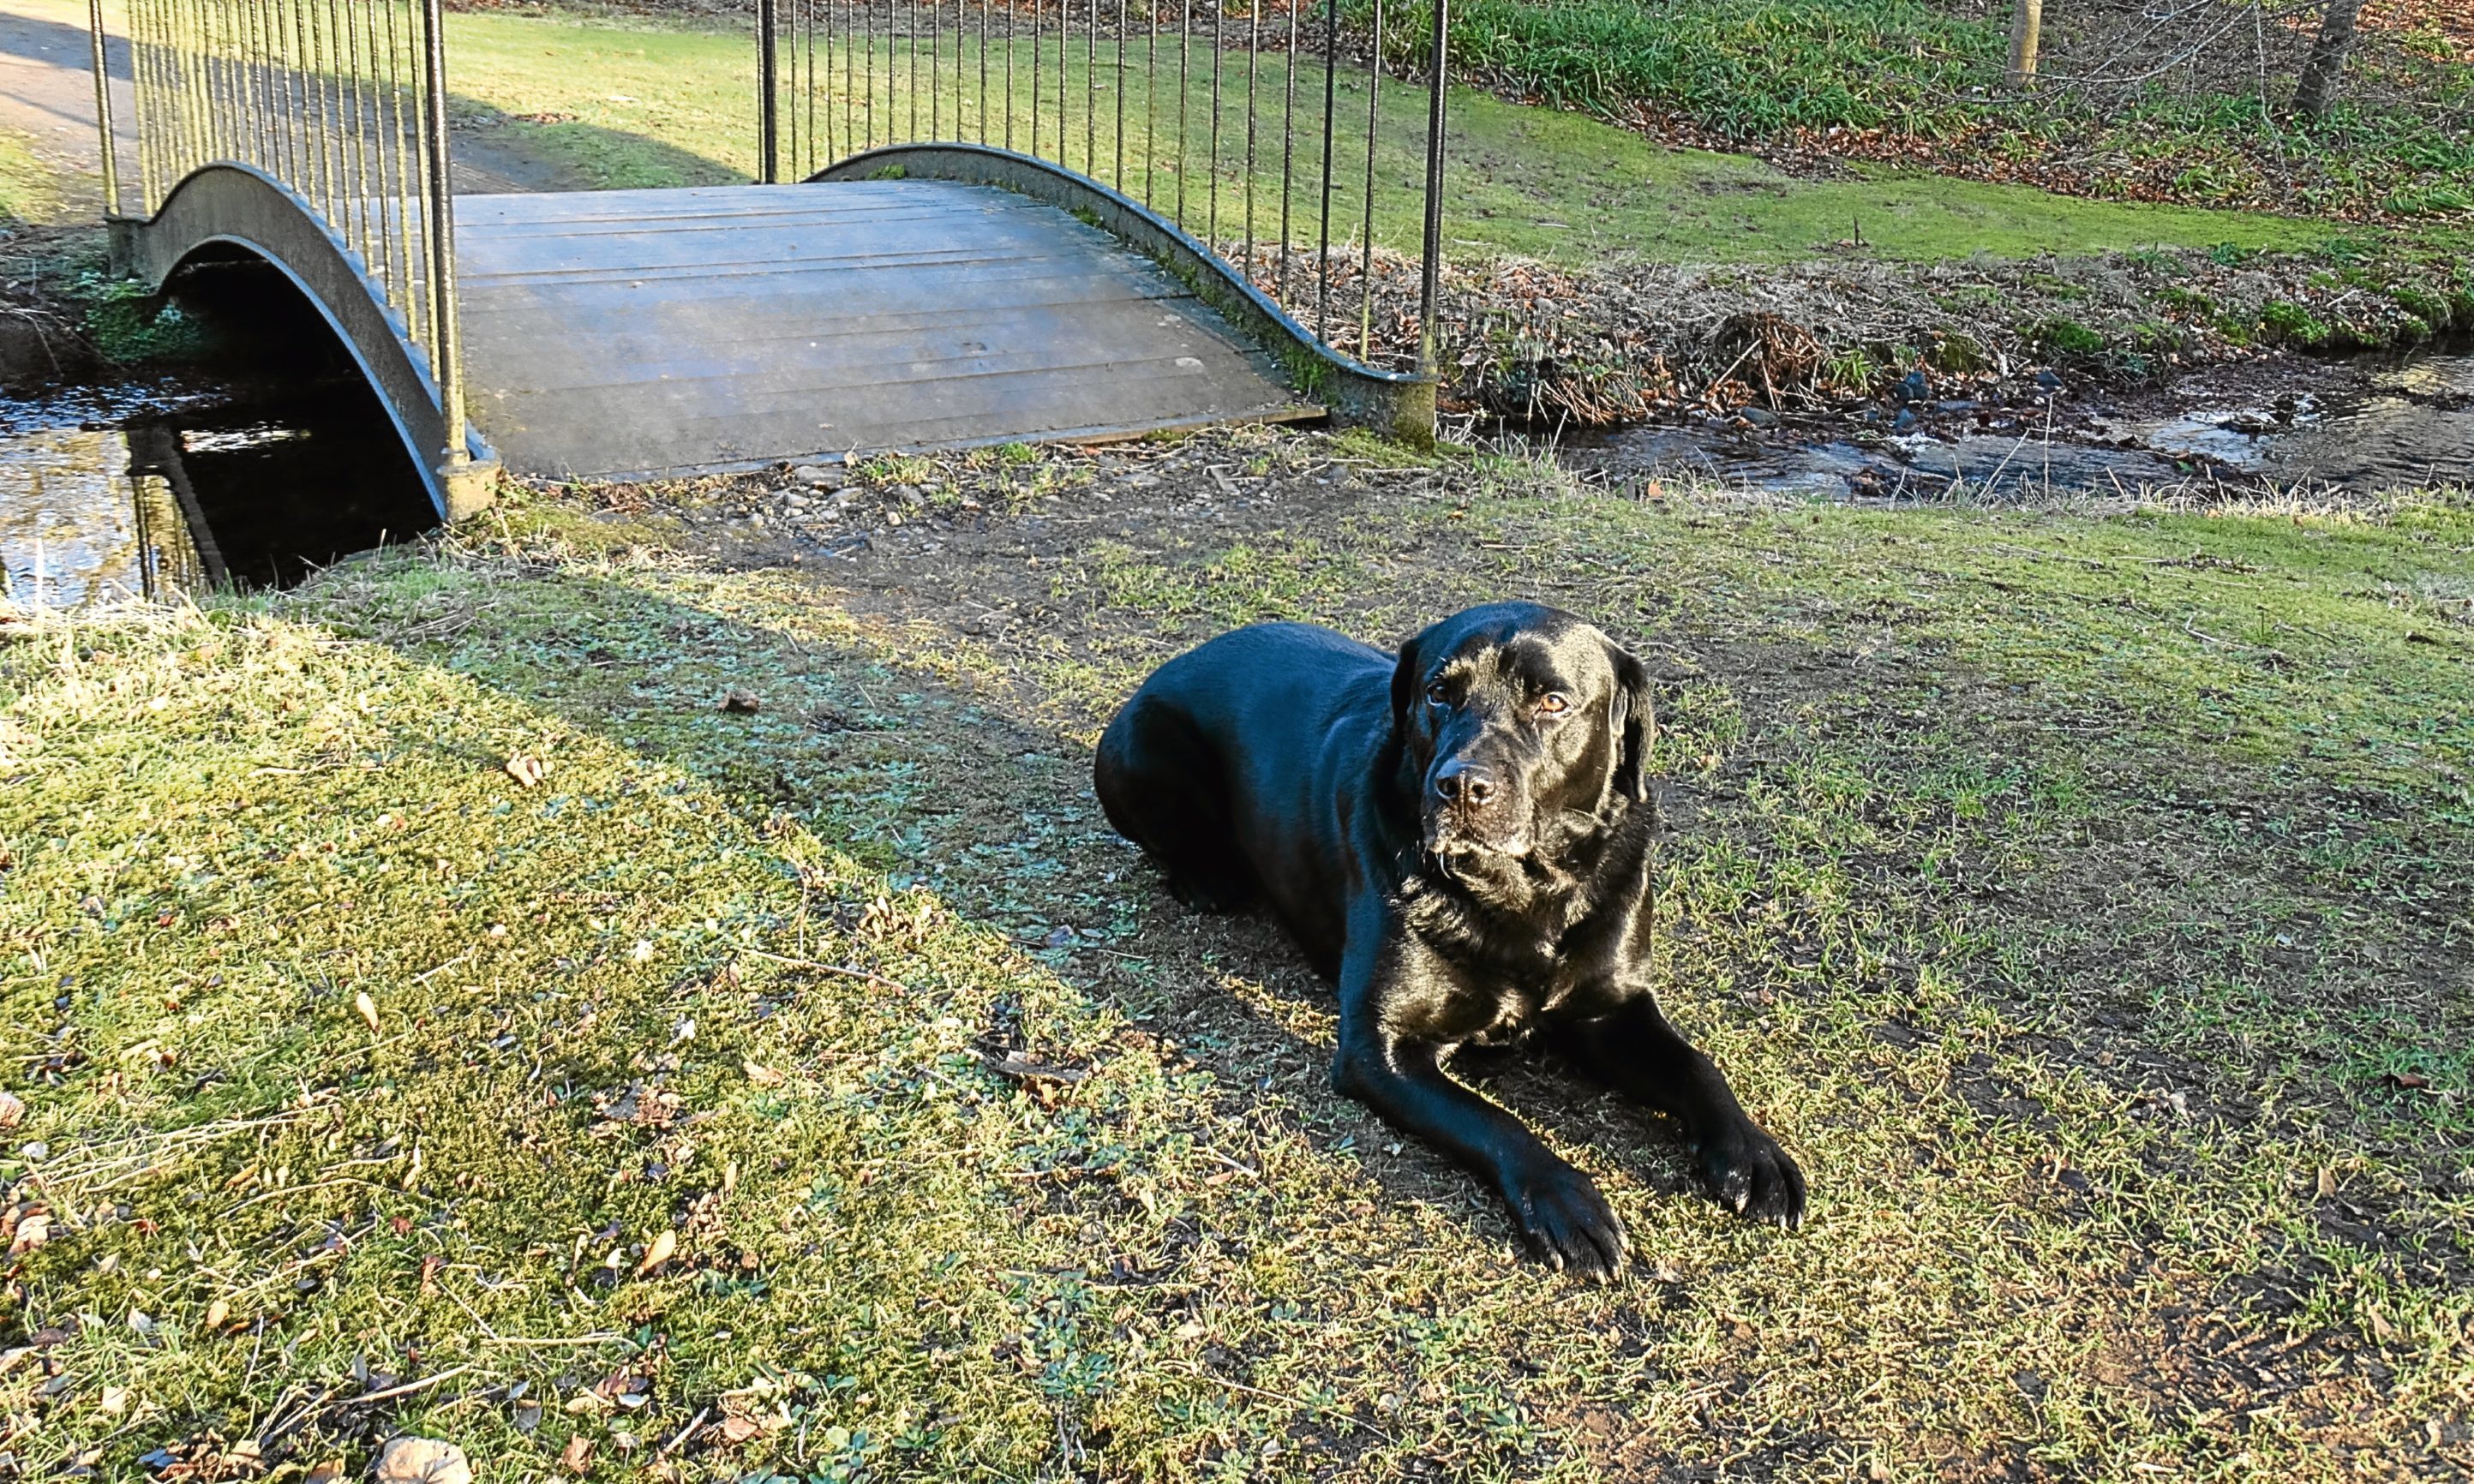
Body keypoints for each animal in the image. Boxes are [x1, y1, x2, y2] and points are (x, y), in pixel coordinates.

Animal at [1093, 603, 1811, 1276]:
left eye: (1552, 702)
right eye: (1439, 692)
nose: (1461, 787)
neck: (1522, 892)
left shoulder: (1611, 1008)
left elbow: (1697, 1065)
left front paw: (1753, 1154)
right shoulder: (1380, 1049)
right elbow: (1494, 1120)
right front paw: (1566, 1200)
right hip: (1141, 752)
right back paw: (1204, 876)